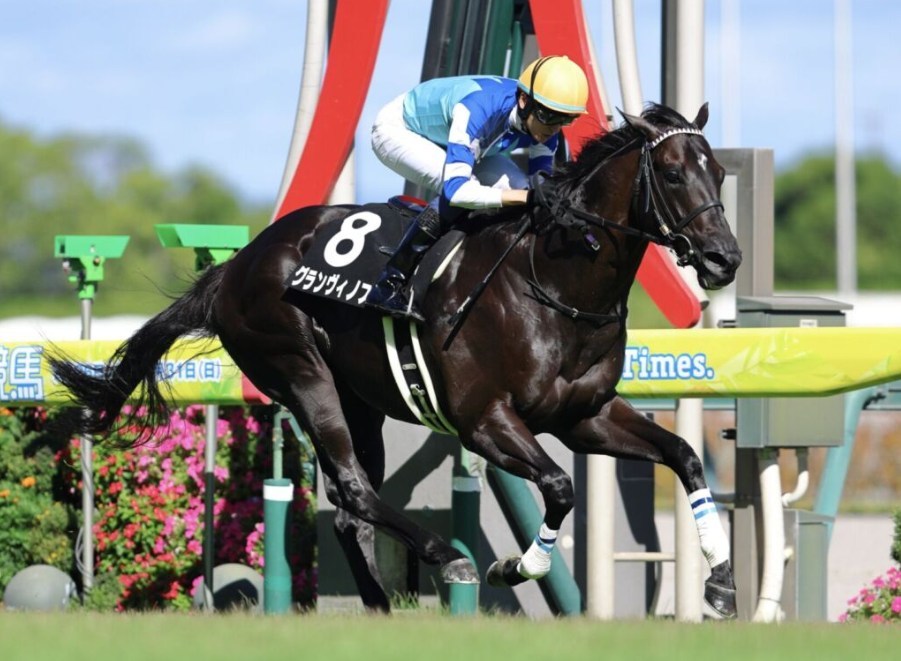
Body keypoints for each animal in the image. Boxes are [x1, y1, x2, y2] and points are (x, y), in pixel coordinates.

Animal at [50, 102, 742, 617]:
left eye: (719, 173)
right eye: (673, 173)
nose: (724, 259)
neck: (555, 285)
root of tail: (237, 266)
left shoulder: (584, 416)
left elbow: (683, 456)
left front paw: (720, 583)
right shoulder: (484, 421)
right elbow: (559, 486)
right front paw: (515, 564)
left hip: (362, 404)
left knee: (349, 509)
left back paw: (382, 607)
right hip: (302, 374)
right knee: (354, 489)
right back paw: (445, 555)